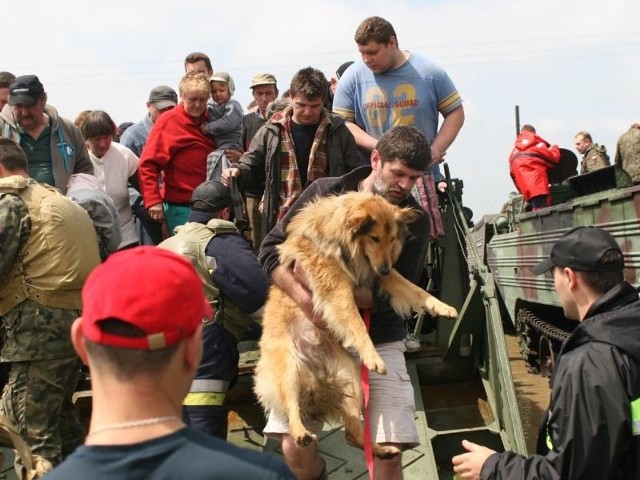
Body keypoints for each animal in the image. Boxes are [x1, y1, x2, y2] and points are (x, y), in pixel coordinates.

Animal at [252, 193, 458, 460]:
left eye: (392, 239)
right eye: (374, 238)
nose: (385, 268)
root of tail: (318, 379)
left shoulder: (376, 273)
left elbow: (415, 290)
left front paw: (442, 307)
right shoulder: (336, 287)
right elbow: (356, 323)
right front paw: (373, 356)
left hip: (353, 383)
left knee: (353, 433)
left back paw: (383, 451)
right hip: (289, 371)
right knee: (292, 409)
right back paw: (301, 433)